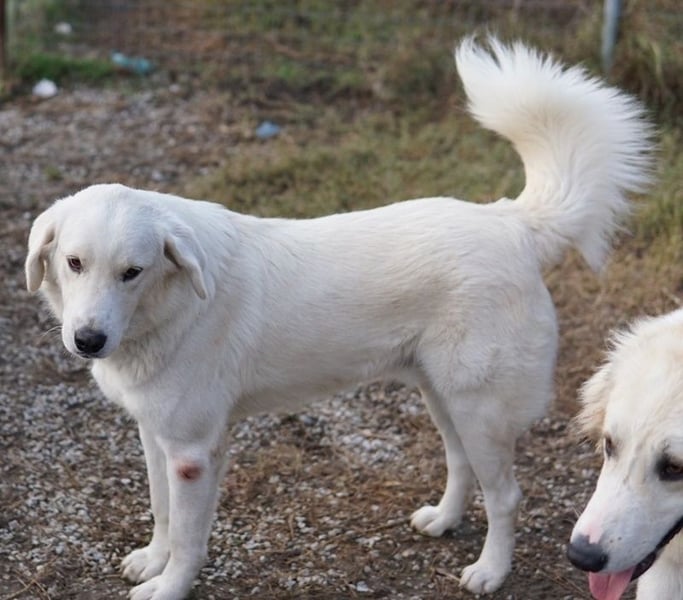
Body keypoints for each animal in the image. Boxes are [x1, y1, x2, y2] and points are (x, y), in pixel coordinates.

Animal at [26, 38, 652, 600]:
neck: (166, 308)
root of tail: (512, 223)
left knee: (506, 496)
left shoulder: (194, 455)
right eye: (75, 263)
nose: (88, 340)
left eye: (132, 272)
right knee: (460, 465)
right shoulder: (156, 437)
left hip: (482, 409)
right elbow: (160, 513)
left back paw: (490, 572)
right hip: (444, 397)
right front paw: (151, 561)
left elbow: (187, 538)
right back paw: (443, 520)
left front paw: (168, 586)